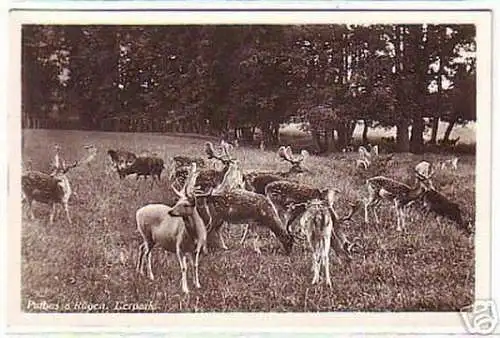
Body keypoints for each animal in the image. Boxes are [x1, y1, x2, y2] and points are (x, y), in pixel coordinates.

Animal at [135, 162, 209, 294]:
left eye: (185, 204)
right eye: (177, 201)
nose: (170, 211)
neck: (194, 236)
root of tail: (138, 213)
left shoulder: (196, 249)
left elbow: (195, 265)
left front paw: (197, 284)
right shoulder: (179, 246)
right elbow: (184, 267)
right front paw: (185, 289)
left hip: (148, 238)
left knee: (141, 247)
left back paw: (140, 272)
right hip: (147, 235)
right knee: (147, 253)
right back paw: (151, 276)